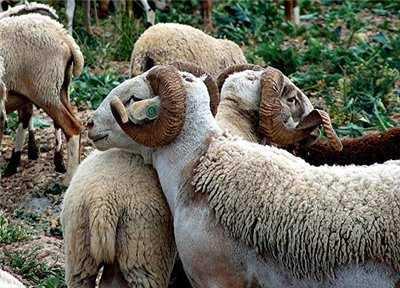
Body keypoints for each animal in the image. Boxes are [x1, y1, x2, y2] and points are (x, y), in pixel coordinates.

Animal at [0, 12, 83, 186]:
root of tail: (64, 36)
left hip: (44, 88)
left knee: (71, 127)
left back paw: (68, 178)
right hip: (60, 88)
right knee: (74, 124)